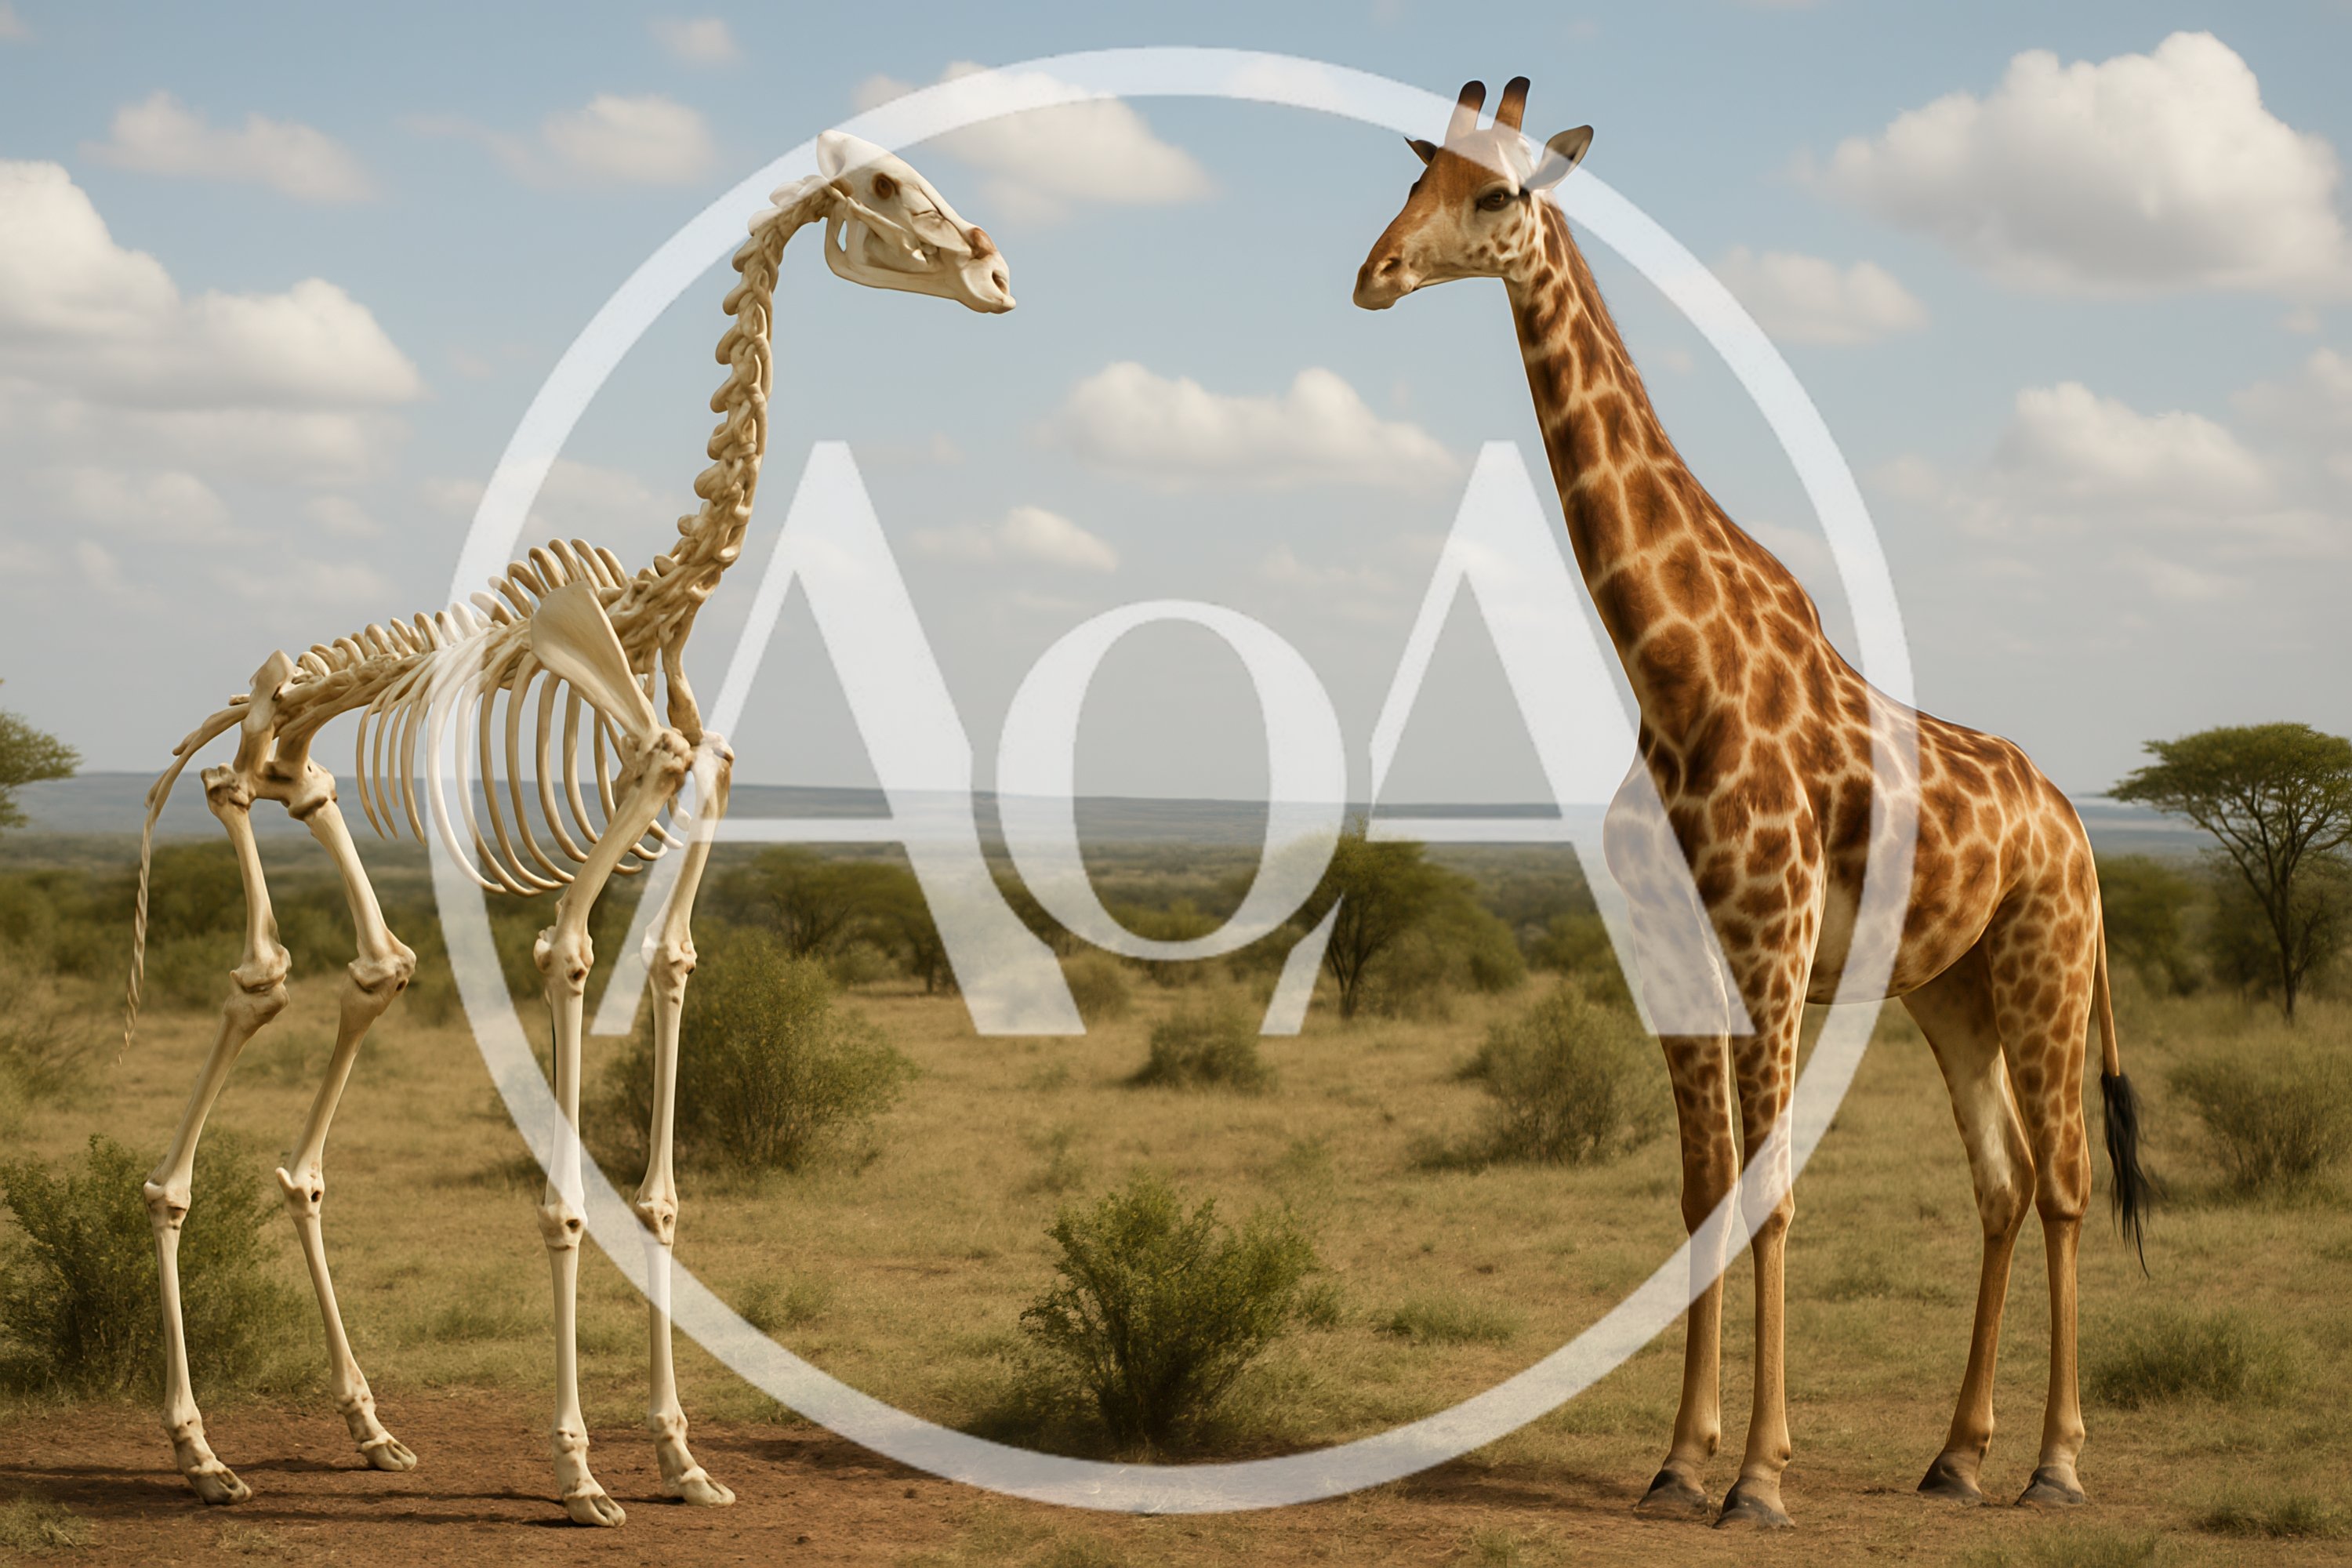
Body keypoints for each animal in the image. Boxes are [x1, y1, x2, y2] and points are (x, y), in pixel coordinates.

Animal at [119, 132, 1012, 1528]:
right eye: (881, 189)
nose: (993, 272)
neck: (657, 608)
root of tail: (282, 687)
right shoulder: (629, 782)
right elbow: (567, 996)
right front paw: (581, 1469)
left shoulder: (701, 774)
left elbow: (667, 1074)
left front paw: (683, 1458)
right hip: (265, 744)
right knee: (245, 957)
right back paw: (201, 1454)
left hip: (314, 782)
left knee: (366, 973)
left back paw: (369, 1430)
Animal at [1354, 77, 2151, 1529]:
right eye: (1413, 175)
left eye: (1496, 192)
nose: (1375, 274)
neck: (1673, 674)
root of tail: (2075, 823)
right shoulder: (1678, 962)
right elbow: (1699, 1201)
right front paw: (1680, 1463)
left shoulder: (1773, 952)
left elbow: (1770, 1199)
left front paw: (1762, 1479)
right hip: (1950, 992)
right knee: (2002, 1181)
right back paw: (1956, 1456)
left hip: (2048, 968)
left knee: (2066, 1182)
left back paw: (2056, 1466)